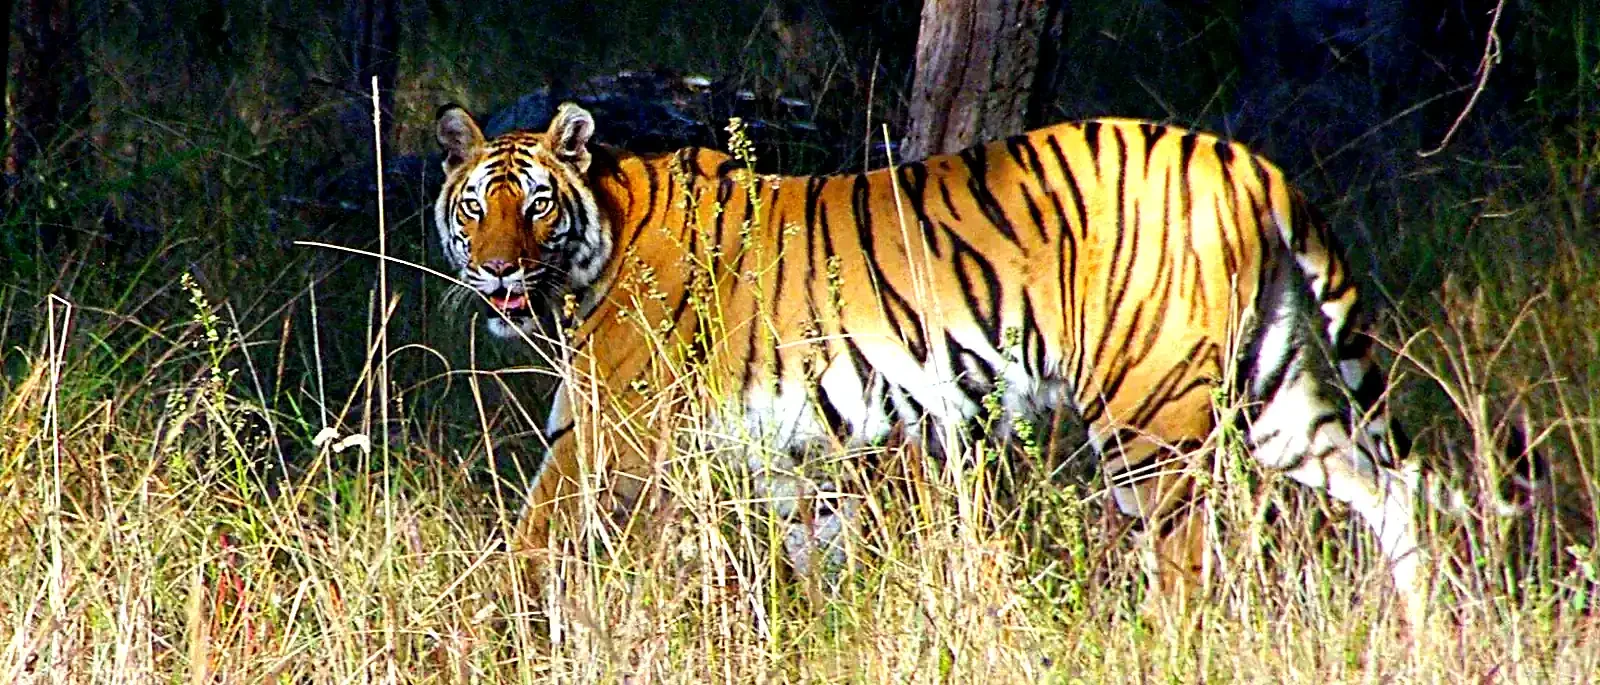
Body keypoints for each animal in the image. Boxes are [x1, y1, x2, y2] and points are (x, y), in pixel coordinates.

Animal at [433, 101, 1436, 628]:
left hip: (1149, 415)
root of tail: (1244, 162)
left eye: (533, 206)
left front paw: (486, 628)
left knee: (1187, 555)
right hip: (1277, 391)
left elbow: (529, 539)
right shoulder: (796, 457)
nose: (497, 270)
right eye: (476, 206)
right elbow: (812, 558)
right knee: (1398, 489)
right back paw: (1424, 627)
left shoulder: (607, 435)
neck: (598, 228)